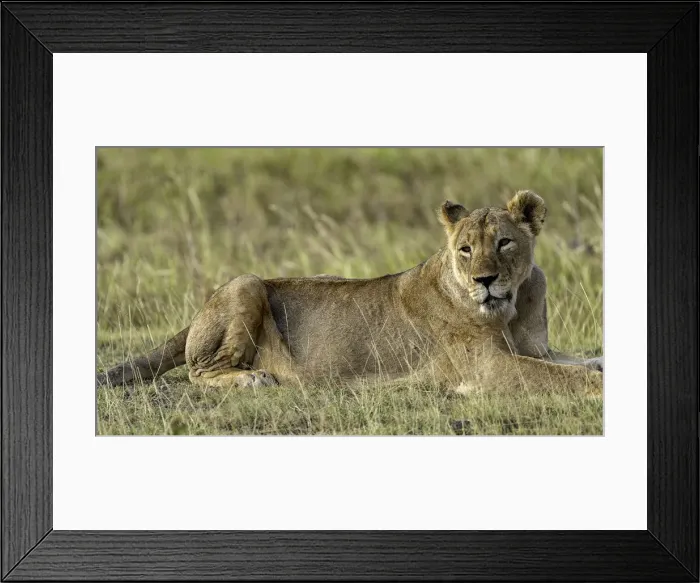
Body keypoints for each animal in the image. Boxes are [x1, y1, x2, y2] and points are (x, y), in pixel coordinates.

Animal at [97, 190, 603, 394]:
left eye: (504, 243)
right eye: (465, 249)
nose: (484, 280)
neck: (513, 306)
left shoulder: (536, 349)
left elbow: (582, 362)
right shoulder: (486, 368)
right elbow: (568, 377)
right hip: (247, 283)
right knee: (197, 372)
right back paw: (251, 379)